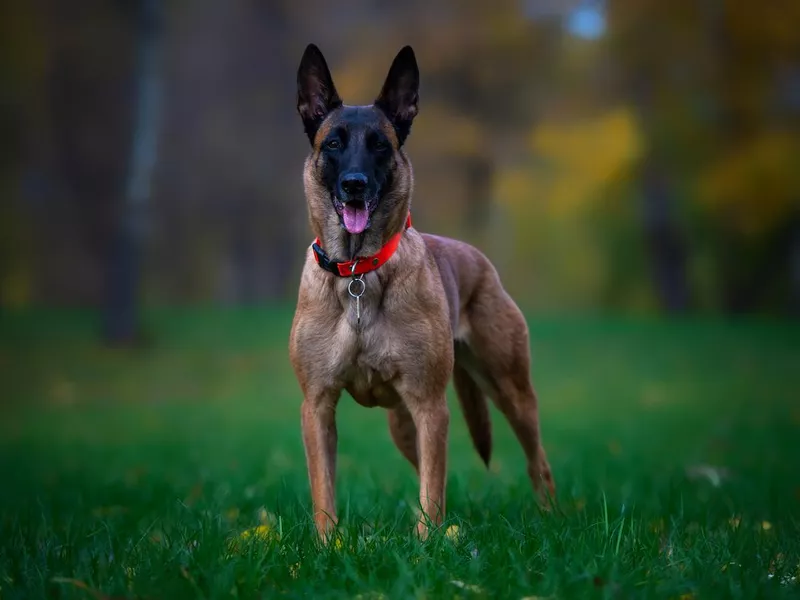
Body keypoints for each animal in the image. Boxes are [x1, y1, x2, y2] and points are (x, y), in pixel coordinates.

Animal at [290, 42, 556, 540]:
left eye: (380, 145)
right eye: (333, 143)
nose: (354, 185)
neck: (358, 273)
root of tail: (478, 257)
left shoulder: (431, 406)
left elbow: (434, 489)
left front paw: (429, 544)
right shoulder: (317, 406)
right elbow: (323, 492)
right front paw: (328, 545)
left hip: (510, 390)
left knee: (536, 461)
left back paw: (551, 517)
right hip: (402, 424)